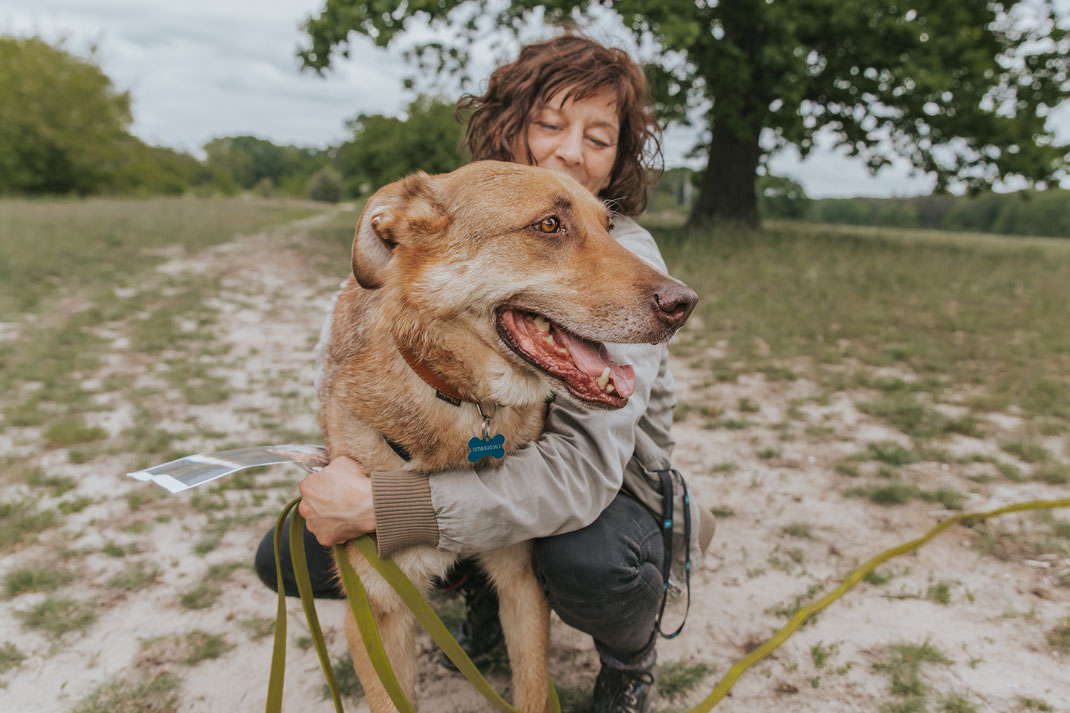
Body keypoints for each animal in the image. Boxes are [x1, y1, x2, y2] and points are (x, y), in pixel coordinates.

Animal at [321, 160, 697, 710]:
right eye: (549, 225)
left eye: (609, 227)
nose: (686, 304)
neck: (456, 399)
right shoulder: (378, 612)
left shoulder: (520, 581)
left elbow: (533, 688)